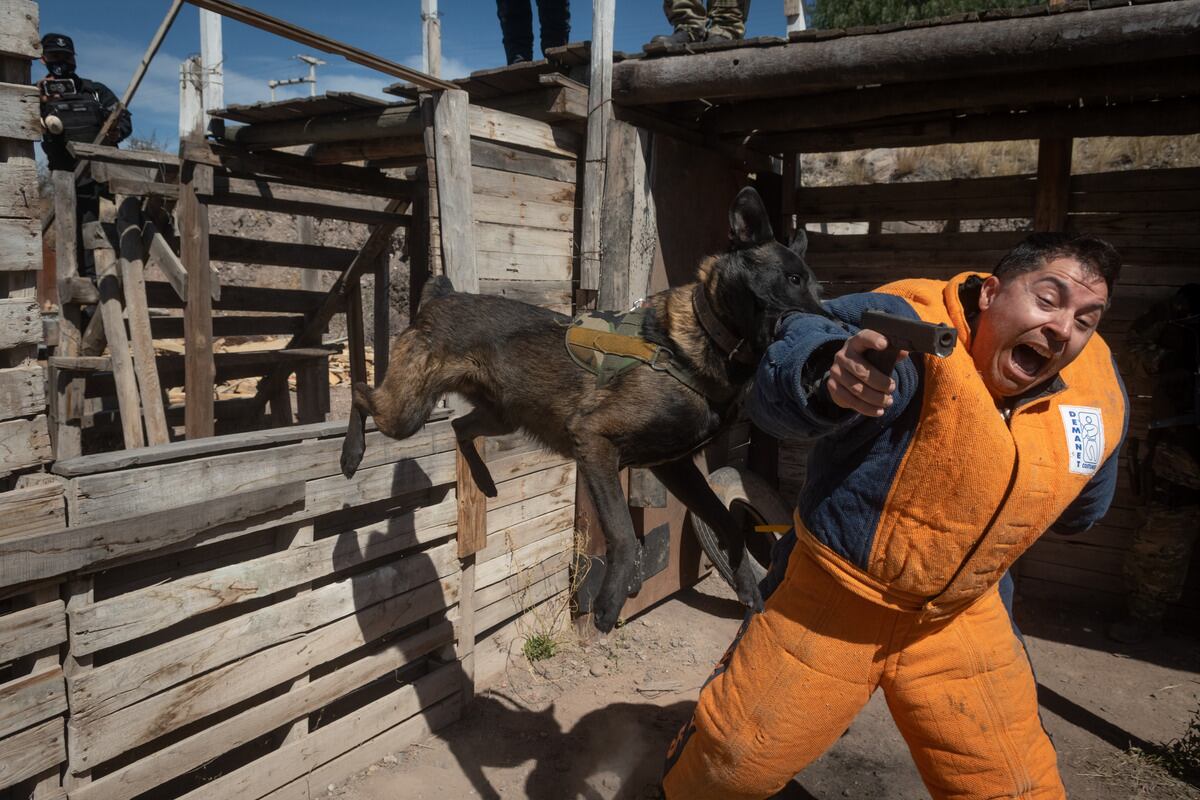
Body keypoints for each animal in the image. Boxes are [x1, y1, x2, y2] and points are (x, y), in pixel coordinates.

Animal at [343, 188, 820, 633]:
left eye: (816, 287)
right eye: (792, 278)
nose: (830, 327)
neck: (699, 338)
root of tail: (442, 295)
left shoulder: (675, 467)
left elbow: (726, 521)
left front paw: (746, 585)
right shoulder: (595, 442)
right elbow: (623, 531)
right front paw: (609, 603)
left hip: (501, 415)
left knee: (460, 427)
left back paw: (483, 479)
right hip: (405, 413)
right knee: (360, 392)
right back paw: (351, 454)